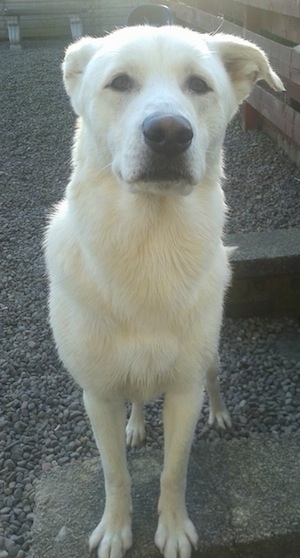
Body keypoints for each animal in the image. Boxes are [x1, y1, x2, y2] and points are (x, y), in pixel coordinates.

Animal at [44, 25, 282, 558]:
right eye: (119, 82)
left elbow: (175, 470)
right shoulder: (97, 395)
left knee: (213, 379)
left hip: (209, 354)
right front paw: (116, 530)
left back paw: (221, 415)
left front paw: (173, 530)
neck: (149, 245)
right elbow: (115, 474)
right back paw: (135, 425)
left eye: (199, 85)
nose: (170, 133)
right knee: (135, 397)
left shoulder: (183, 392)